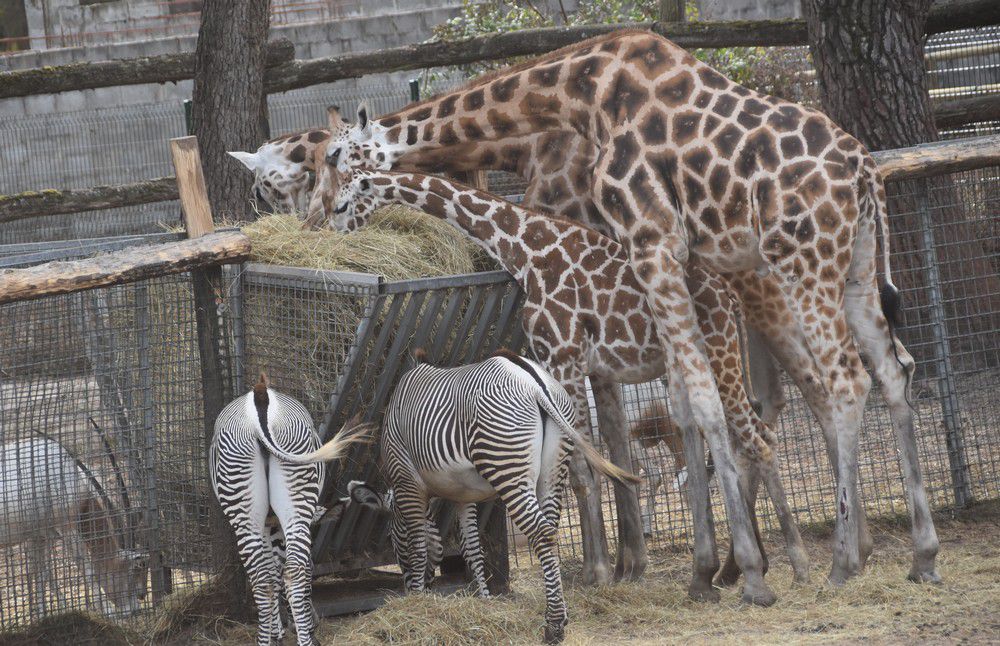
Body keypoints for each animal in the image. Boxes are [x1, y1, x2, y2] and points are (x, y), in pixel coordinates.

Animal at [211, 374, 372, 646]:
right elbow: (290, 571)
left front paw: (278, 631)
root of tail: (260, 397)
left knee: (267, 579)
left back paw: (272, 639)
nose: (316, 624)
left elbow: (275, 572)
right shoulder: (278, 524)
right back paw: (301, 639)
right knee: (290, 573)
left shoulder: (269, 525)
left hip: (250, 512)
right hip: (290, 504)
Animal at [328, 166, 812, 596]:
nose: (327, 231)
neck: (526, 249)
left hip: (717, 346)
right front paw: (625, 569)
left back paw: (788, 565)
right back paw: (737, 568)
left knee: (754, 437)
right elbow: (615, 466)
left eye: (342, 203)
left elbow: (579, 469)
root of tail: (732, 293)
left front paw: (593, 573)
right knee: (746, 434)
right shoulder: (597, 370)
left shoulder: (562, 357)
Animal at [378, 352, 636, 644]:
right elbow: (472, 548)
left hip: (508, 468)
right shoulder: (463, 495)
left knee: (541, 533)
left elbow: (419, 544)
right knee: (550, 531)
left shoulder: (406, 482)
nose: (409, 589)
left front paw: (418, 601)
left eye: (391, 540)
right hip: (553, 471)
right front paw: (484, 599)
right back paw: (556, 614)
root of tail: (534, 383)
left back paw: (554, 626)